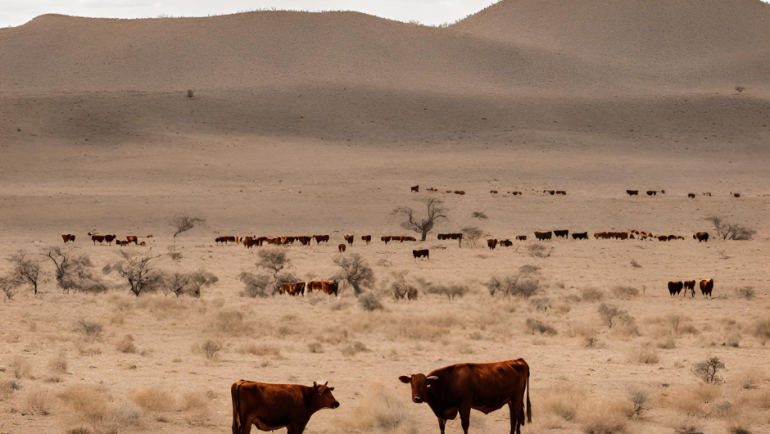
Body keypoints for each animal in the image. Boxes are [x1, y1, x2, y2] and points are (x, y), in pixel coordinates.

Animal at [400, 362, 532, 434]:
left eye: (425, 384)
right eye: (412, 384)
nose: (417, 399)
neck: (447, 382)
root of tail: (520, 361)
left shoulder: (464, 404)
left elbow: (465, 425)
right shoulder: (441, 413)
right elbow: (442, 428)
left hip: (516, 399)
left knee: (517, 419)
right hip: (511, 401)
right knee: (513, 420)